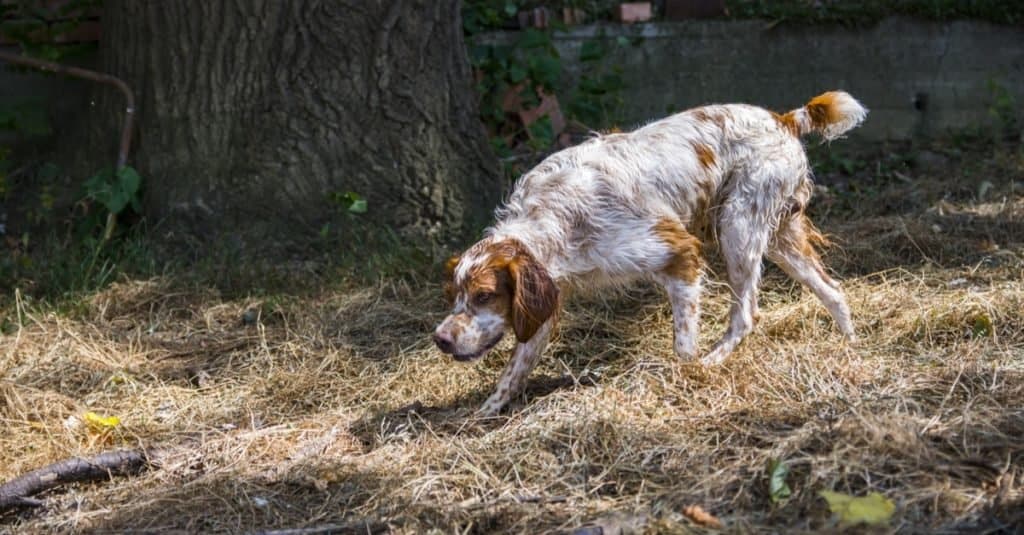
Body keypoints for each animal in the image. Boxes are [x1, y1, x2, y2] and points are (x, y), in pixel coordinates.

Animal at [432, 91, 864, 414]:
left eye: (484, 295)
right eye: (455, 296)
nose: (441, 339)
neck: (554, 217)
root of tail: (784, 119)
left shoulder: (679, 252)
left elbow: (683, 344)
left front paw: (685, 376)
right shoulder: (548, 295)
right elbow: (515, 369)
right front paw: (484, 412)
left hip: (737, 228)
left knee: (745, 316)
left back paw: (713, 362)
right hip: (775, 238)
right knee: (833, 290)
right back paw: (850, 344)